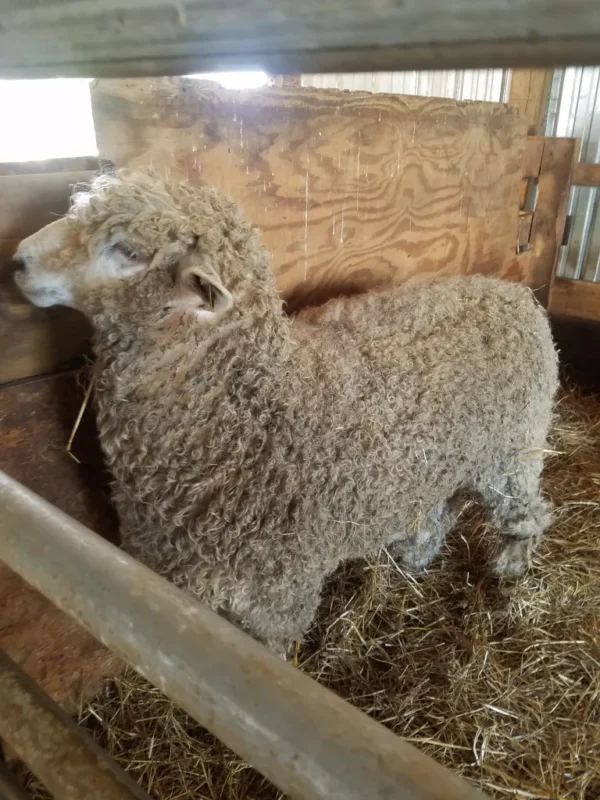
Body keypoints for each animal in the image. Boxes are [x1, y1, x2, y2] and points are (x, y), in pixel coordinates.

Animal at [14, 169, 559, 655]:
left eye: (127, 251)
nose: (18, 260)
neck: (254, 416)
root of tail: (515, 294)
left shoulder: (278, 600)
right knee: (441, 509)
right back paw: (415, 557)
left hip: (514, 454)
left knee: (526, 514)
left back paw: (510, 573)